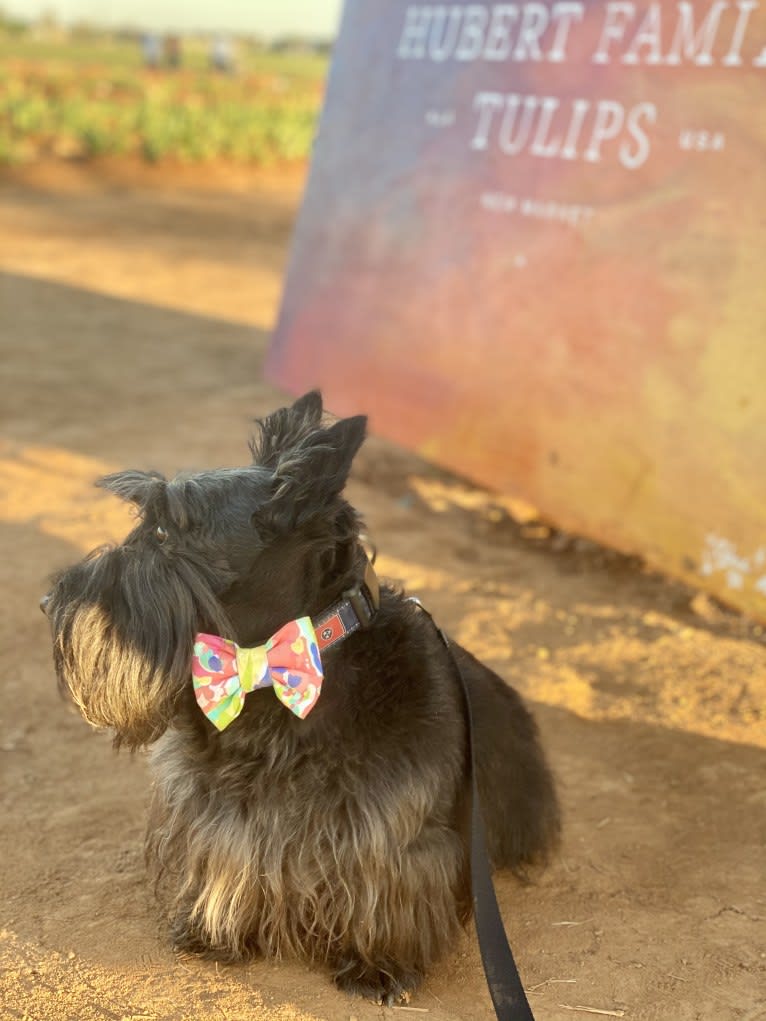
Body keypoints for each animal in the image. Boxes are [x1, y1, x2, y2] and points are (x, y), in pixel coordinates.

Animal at [43, 392, 559, 1004]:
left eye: (167, 533)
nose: (50, 602)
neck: (268, 670)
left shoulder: (391, 828)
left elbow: (386, 884)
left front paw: (379, 964)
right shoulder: (218, 812)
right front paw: (218, 932)